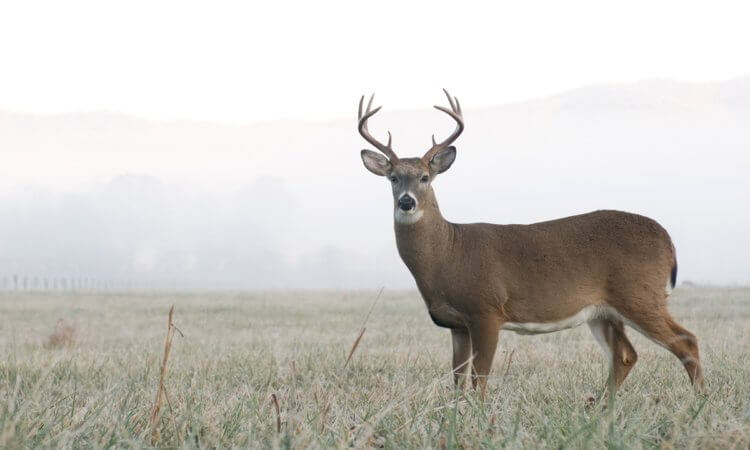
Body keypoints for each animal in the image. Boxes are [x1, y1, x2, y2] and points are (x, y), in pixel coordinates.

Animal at [362, 90, 708, 394]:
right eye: (393, 178)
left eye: (425, 177)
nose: (406, 202)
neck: (447, 253)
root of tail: (668, 240)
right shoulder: (456, 324)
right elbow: (458, 379)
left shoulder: (486, 309)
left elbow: (479, 377)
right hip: (604, 312)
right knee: (625, 355)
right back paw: (600, 409)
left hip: (640, 294)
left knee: (686, 341)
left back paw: (699, 402)